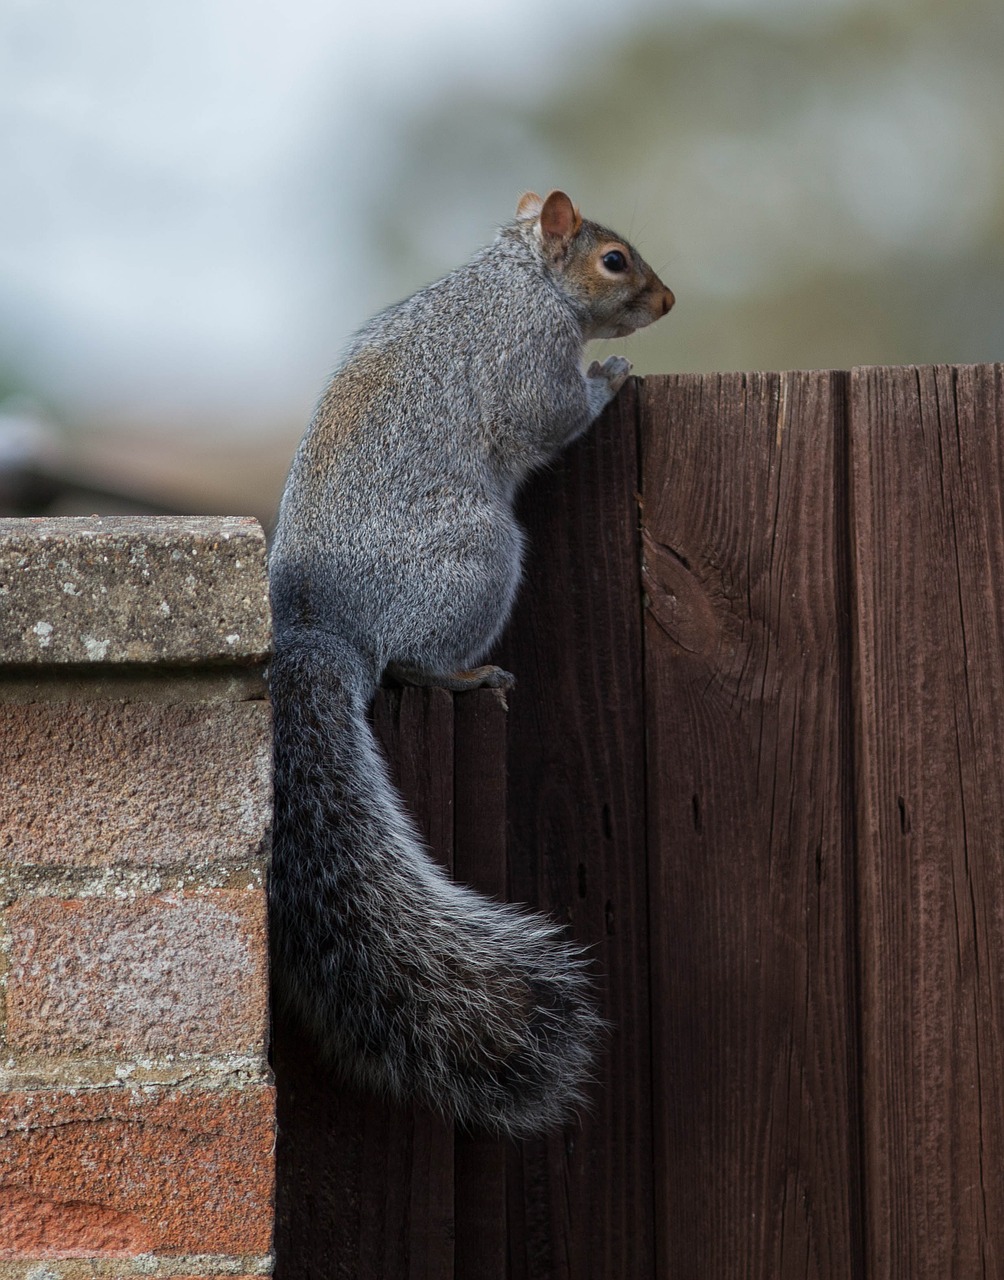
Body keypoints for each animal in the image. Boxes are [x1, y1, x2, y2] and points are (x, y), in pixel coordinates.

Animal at [270, 185, 671, 1136]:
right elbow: (553, 413)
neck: (517, 274)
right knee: (409, 663)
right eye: (614, 261)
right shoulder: (528, 354)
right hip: (481, 558)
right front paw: (609, 379)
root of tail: (325, 630)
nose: (668, 302)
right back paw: (463, 673)